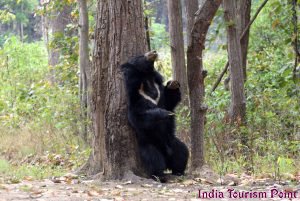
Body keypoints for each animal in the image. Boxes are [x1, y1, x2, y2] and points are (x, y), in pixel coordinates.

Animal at [121, 50, 188, 182]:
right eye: (141, 56)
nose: (154, 52)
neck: (146, 77)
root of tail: (167, 155)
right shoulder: (136, 99)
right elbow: (140, 117)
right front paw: (165, 113)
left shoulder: (159, 91)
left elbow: (169, 101)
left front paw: (173, 84)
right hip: (148, 144)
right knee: (154, 159)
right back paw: (160, 175)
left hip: (172, 141)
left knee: (182, 152)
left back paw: (179, 171)